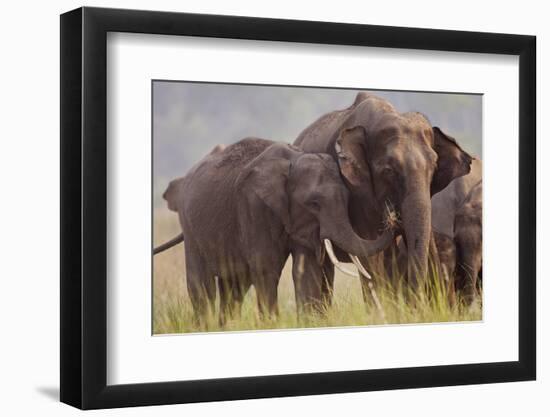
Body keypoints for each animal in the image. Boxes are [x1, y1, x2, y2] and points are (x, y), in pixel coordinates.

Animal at [155, 136, 396, 322]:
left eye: (347, 200)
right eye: (314, 204)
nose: (391, 216)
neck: (292, 161)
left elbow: (306, 269)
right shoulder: (253, 205)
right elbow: (266, 268)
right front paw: (272, 323)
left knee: (234, 287)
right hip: (190, 227)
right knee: (202, 287)